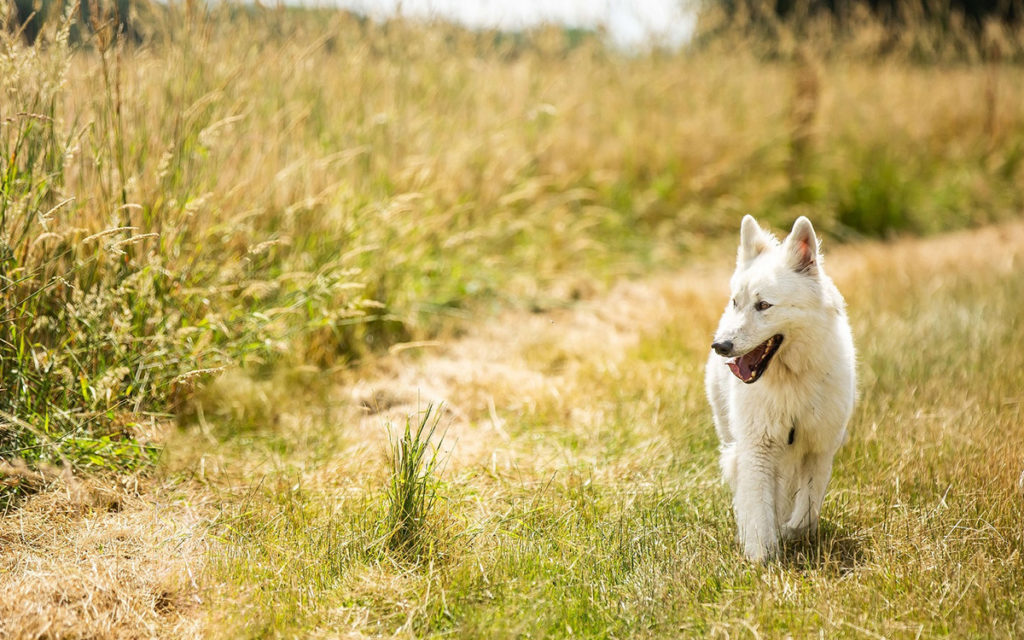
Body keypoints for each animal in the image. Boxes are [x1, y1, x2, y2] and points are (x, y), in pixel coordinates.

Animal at [704, 215, 856, 557]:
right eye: (737, 302)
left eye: (763, 305)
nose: (720, 346)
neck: (791, 378)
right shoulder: (757, 447)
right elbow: (758, 508)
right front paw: (761, 556)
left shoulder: (819, 448)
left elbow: (806, 507)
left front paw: (791, 533)